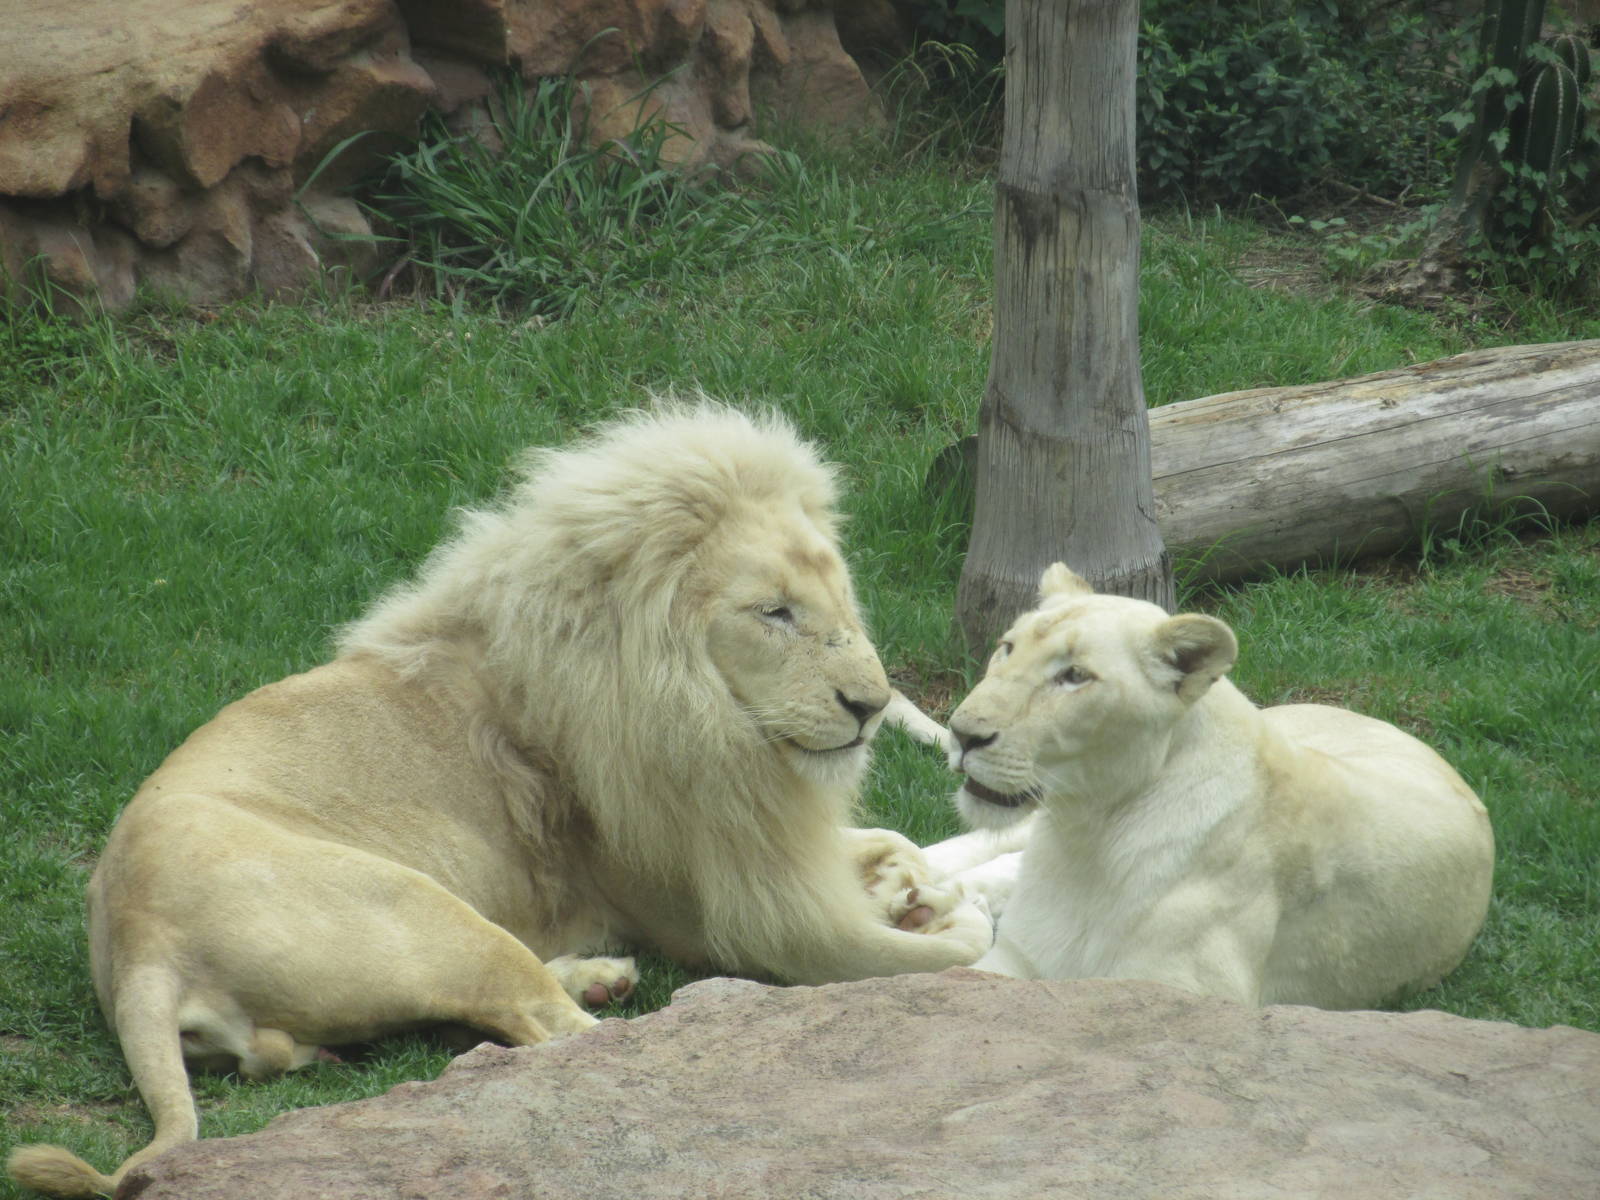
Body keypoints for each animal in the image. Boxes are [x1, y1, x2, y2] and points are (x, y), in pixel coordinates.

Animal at [9, 405, 992, 1199]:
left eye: (837, 596)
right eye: (774, 613)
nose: (870, 705)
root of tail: (136, 943)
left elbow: (889, 838)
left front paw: (910, 885)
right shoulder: (705, 906)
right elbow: (923, 954)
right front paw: (948, 925)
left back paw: (596, 974)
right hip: (422, 910)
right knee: (561, 1040)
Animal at [926, 563, 1495, 1009]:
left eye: (1075, 676)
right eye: (1007, 648)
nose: (963, 733)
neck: (1087, 836)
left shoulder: (1186, 991)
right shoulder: (1017, 956)